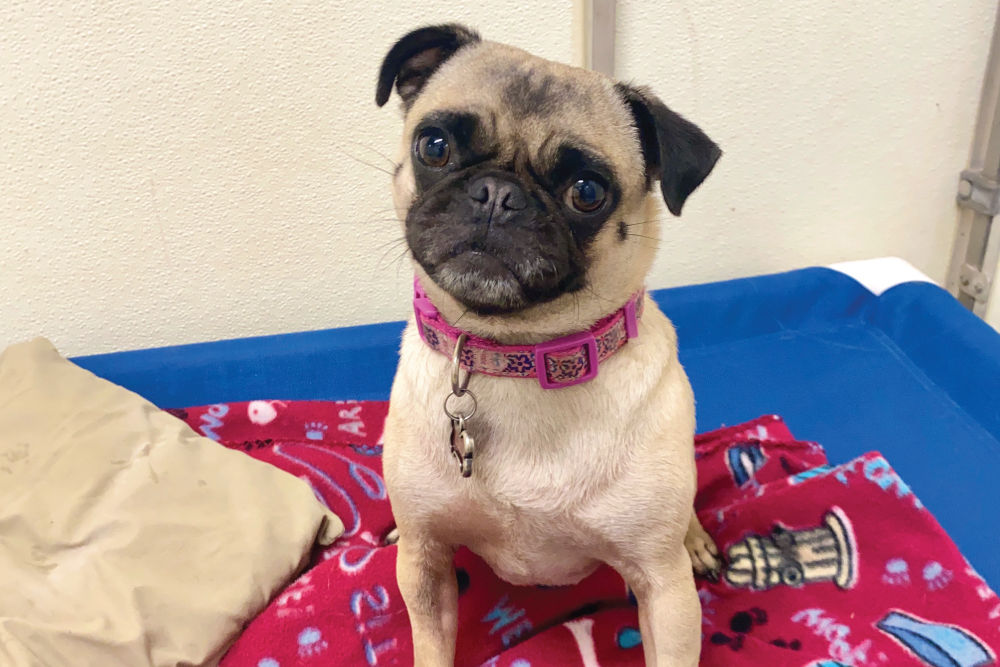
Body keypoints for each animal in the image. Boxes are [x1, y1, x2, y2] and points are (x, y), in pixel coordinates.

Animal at [378, 23, 724, 664]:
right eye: (434, 147)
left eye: (587, 191)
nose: (496, 193)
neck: (515, 355)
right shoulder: (425, 562)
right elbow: (430, 640)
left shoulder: (663, 590)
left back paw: (694, 539)